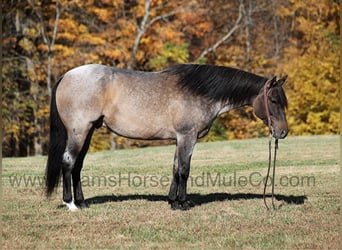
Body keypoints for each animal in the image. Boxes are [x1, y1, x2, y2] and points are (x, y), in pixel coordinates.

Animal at [44, 63, 288, 210]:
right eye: (273, 100)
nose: (283, 132)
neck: (200, 91)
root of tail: (67, 75)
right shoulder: (187, 137)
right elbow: (184, 170)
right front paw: (182, 204)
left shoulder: (181, 139)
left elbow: (175, 168)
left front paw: (173, 201)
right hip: (78, 132)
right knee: (69, 162)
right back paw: (71, 204)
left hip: (88, 132)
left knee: (77, 166)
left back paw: (82, 203)